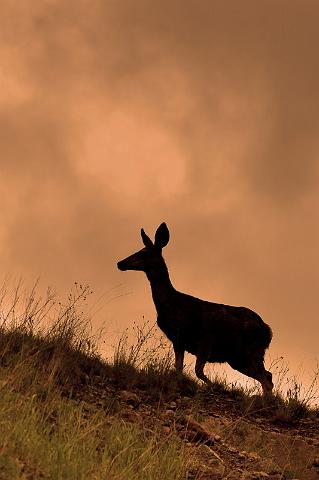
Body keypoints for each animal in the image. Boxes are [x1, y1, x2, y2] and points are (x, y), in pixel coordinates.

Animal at [118, 223, 276, 396]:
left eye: (143, 252)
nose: (120, 263)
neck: (170, 304)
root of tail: (267, 330)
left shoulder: (205, 340)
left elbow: (198, 371)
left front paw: (214, 386)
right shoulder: (178, 341)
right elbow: (179, 368)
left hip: (250, 351)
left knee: (266, 377)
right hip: (237, 357)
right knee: (267, 376)